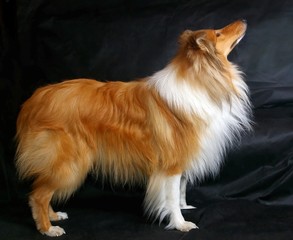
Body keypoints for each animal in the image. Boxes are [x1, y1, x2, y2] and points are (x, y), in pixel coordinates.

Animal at [14, 20, 250, 236]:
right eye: (218, 33)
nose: (243, 21)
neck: (200, 79)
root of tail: (35, 99)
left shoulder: (183, 158)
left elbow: (181, 189)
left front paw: (184, 208)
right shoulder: (171, 163)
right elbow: (172, 196)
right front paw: (180, 223)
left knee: (43, 190)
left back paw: (54, 216)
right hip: (69, 162)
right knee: (38, 195)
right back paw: (48, 228)